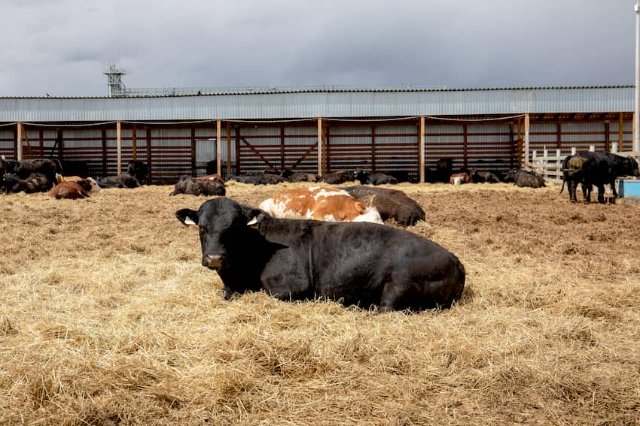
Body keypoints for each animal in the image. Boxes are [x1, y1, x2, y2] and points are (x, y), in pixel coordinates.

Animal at [175, 198, 464, 312]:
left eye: (234, 227)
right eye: (202, 227)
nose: (215, 258)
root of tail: (455, 258)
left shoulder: (294, 286)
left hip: (399, 284)